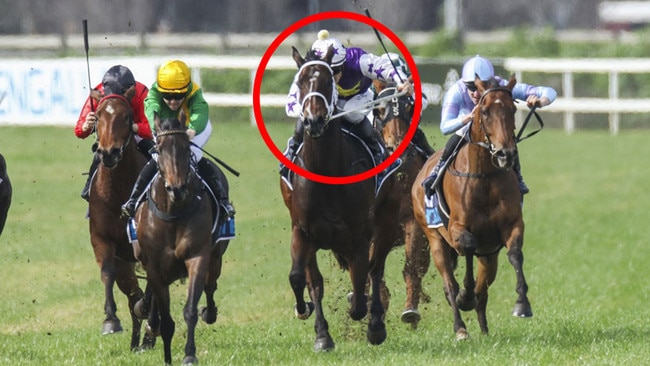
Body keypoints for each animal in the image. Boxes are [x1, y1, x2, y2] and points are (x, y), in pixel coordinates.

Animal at [132, 112, 228, 366]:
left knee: (211, 285)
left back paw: (209, 312)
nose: (177, 189)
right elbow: (165, 320)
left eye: (186, 148)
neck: (173, 211)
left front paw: (189, 354)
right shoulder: (155, 266)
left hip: (216, 256)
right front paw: (166, 355)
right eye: (159, 148)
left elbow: (190, 310)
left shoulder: (197, 257)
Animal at [276, 46, 398, 352]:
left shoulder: (359, 235)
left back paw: (375, 325)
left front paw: (364, 313)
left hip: (387, 221)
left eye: (327, 82)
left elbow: (361, 280)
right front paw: (317, 328)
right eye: (300, 83)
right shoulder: (302, 231)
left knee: (375, 268)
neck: (326, 173)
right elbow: (304, 280)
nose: (313, 121)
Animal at [410, 76, 532, 340]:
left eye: (513, 109)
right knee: (449, 284)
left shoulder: (512, 226)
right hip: (434, 239)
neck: (484, 177)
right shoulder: (457, 228)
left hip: (489, 257)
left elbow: (515, 254)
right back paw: (460, 328)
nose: (505, 154)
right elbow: (467, 246)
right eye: (484, 112)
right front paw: (464, 297)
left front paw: (522, 303)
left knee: (483, 290)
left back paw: (484, 329)